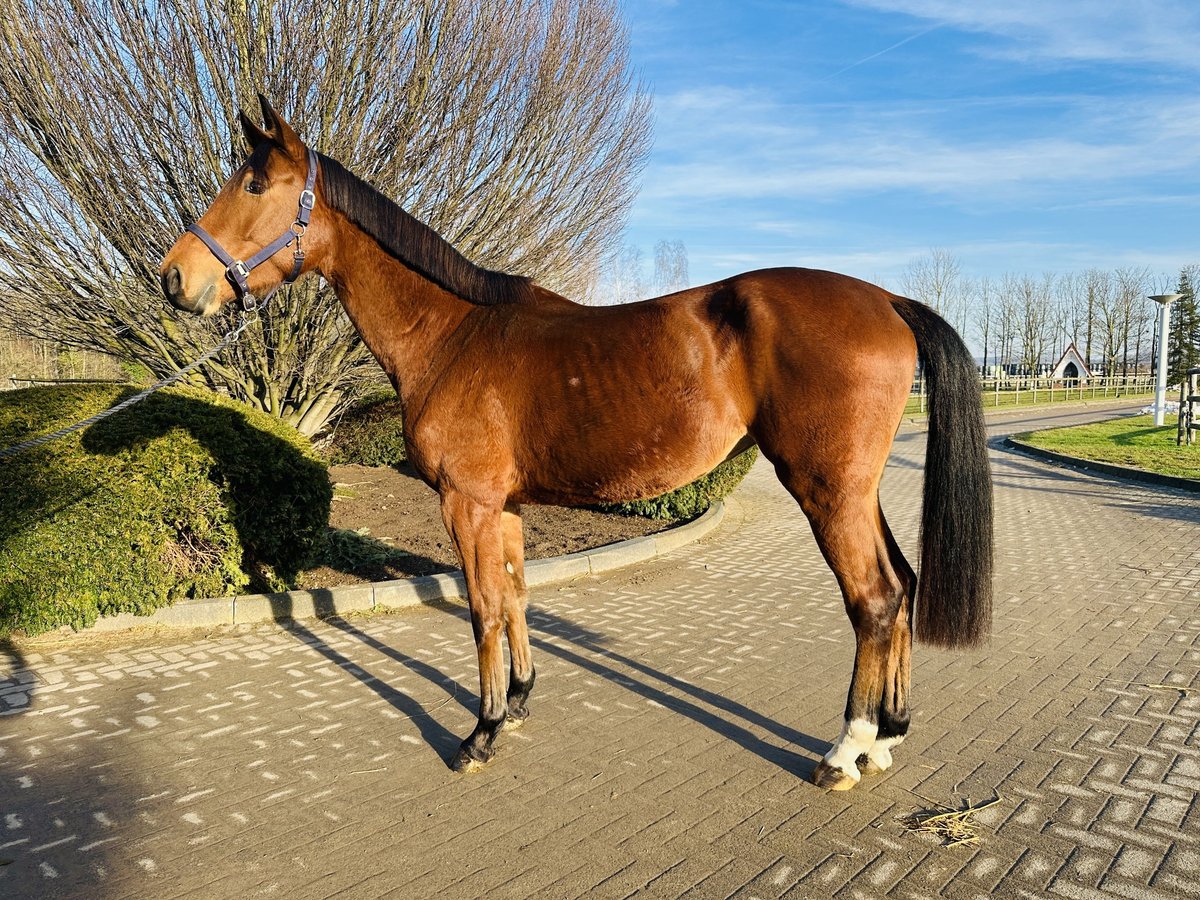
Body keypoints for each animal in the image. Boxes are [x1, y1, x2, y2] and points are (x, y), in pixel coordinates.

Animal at [159, 95, 988, 792]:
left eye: (254, 185)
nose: (174, 279)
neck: (455, 334)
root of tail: (887, 300)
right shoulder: (505, 506)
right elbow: (517, 596)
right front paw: (520, 700)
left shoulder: (466, 504)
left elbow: (482, 611)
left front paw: (481, 732)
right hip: (856, 490)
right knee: (903, 585)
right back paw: (886, 736)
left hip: (826, 490)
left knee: (873, 600)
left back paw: (845, 751)